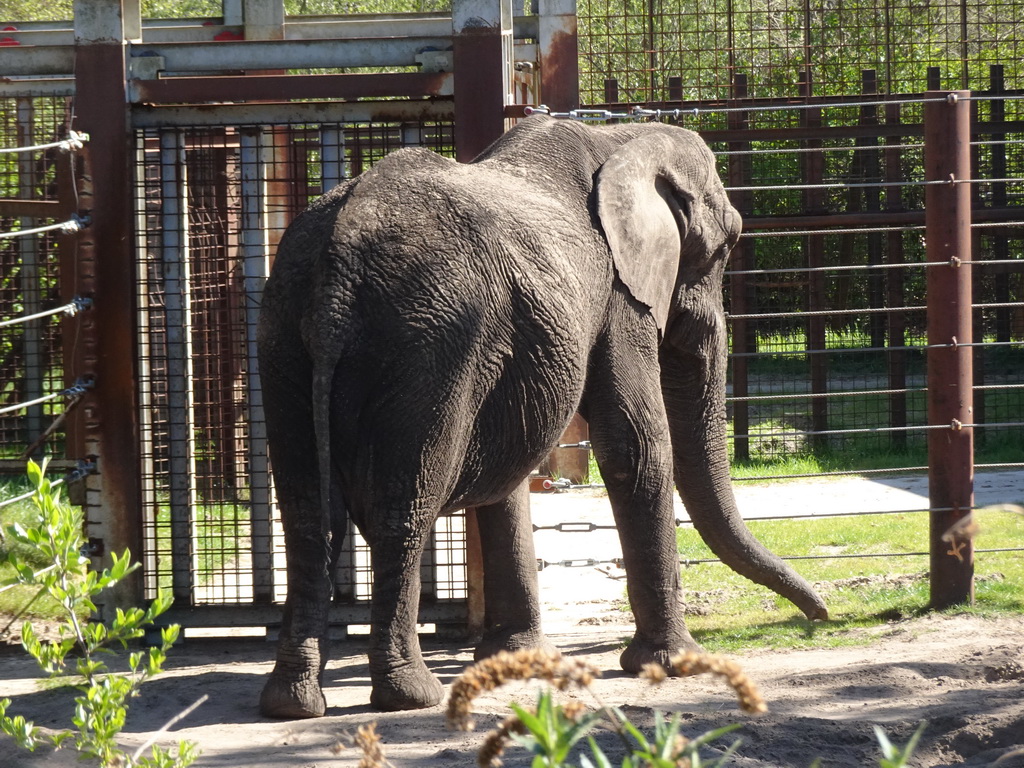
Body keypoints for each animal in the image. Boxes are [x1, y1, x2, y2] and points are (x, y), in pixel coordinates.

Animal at [253, 114, 823, 720]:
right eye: (725, 245)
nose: (819, 615)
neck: (625, 137)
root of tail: (338, 266)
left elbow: (508, 467)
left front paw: (515, 658)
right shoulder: (618, 295)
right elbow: (635, 443)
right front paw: (670, 664)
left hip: (283, 333)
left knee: (309, 515)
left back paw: (291, 703)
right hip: (427, 338)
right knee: (399, 507)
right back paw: (409, 696)